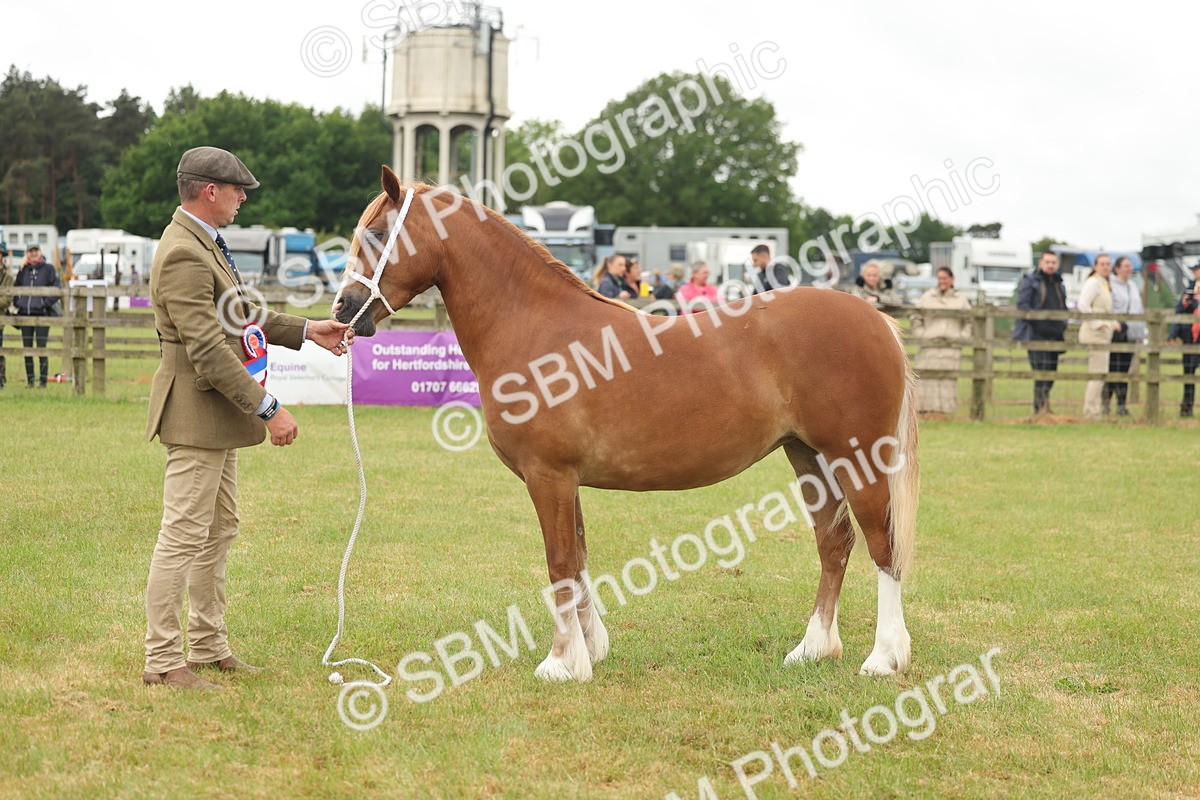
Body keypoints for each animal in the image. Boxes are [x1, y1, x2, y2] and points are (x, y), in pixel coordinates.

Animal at [334, 167, 920, 681]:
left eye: (378, 233)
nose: (342, 308)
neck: (535, 327)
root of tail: (878, 319)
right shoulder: (565, 480)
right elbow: (578, 558)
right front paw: (590, 649)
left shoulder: (548, 475)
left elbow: (558, 563)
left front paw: (560, 663)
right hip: (808, 456)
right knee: (834, 542)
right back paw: (812, 649)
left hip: (856, 457)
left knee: (882, 546)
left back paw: (884, 658)